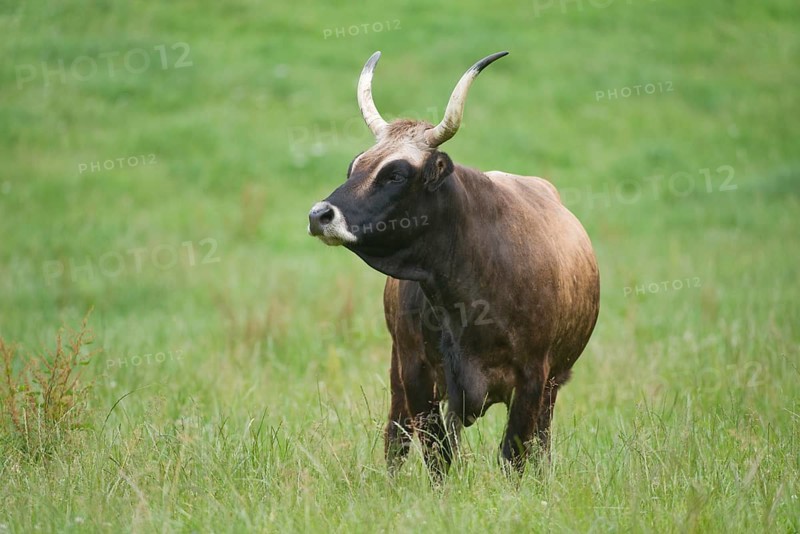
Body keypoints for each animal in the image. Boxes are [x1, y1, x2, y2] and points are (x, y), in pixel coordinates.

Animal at [307, 51, 600, 476]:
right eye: (354, 167)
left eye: (396, 174)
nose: (320, 215)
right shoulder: (419, 372)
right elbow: (436, 453)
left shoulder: (533, 376)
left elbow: (514, 455)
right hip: (400, 369)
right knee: (396, 436)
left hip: (551, 386)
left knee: (541, 446)